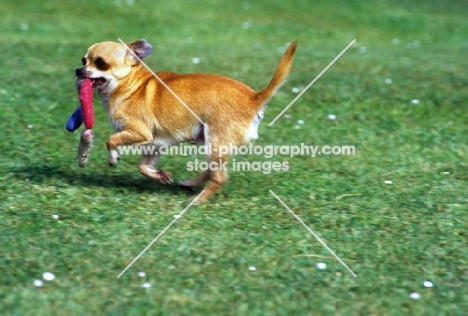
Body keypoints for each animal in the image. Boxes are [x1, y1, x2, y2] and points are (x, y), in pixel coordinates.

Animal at [75, 39, 298, 200]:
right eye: (83, 60)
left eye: (100, 63)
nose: (78, 70)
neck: (132, 85)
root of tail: (254, 98)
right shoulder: (156, 144)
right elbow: (144, 166)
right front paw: (159, 175)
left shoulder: (140, 133)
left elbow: (110, 140)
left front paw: (113, 159)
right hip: (214, 145)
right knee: (213, 171)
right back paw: (190, 184)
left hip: (215, 142)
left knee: (219, 177)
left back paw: (198, 199)